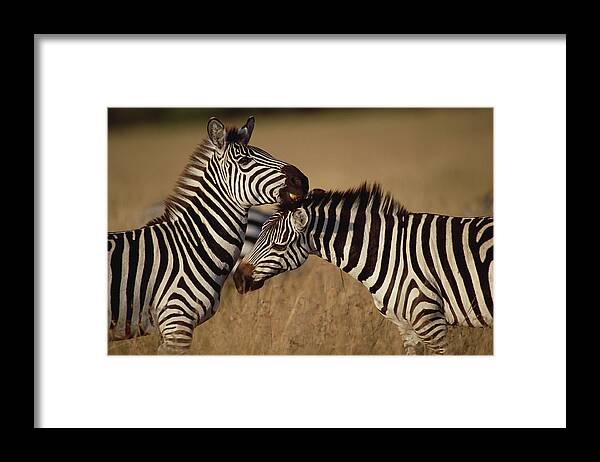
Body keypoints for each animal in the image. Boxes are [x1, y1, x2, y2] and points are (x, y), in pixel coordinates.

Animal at [233, 183, 492, 354]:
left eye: (278, 245)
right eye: (259, 236)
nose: (237, 278)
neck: (390, 252)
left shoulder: (429, 319)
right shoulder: (407, 327)